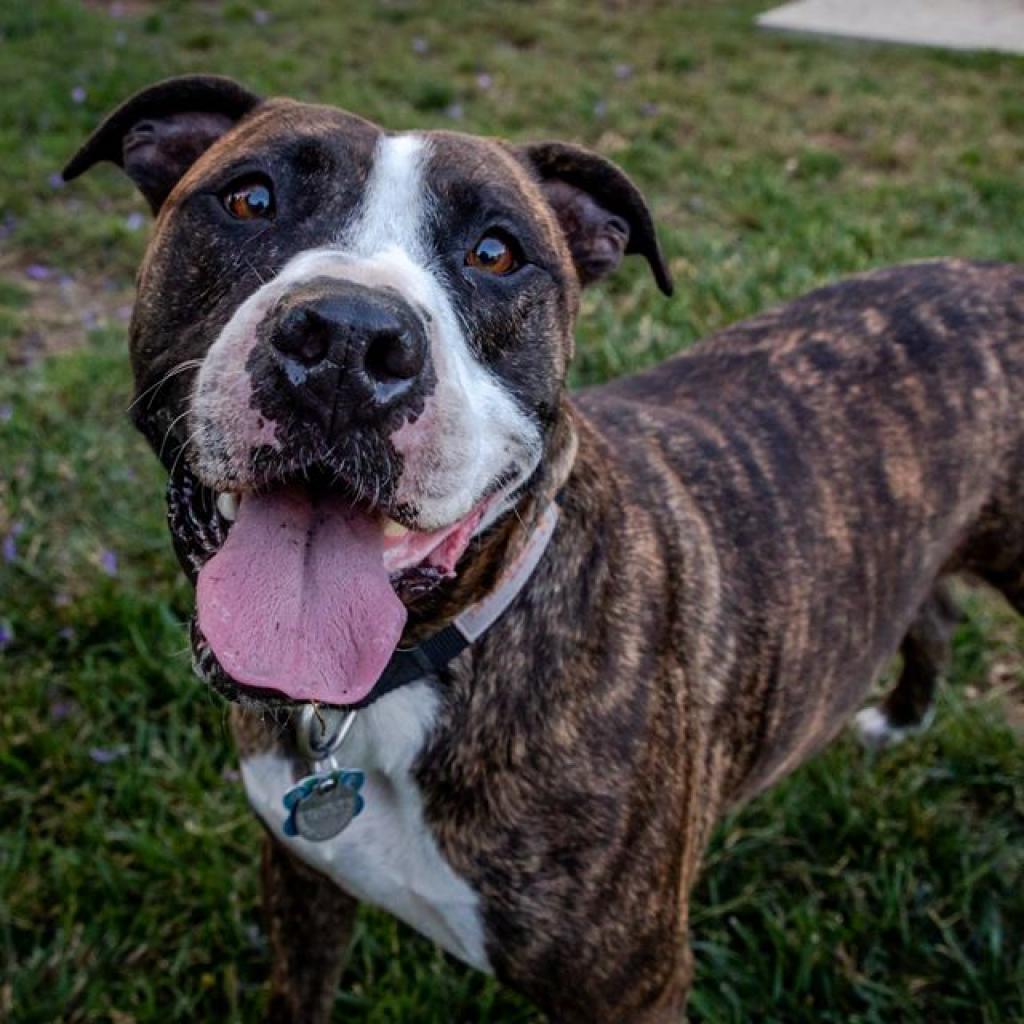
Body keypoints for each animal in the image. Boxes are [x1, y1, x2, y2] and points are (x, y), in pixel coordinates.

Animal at [66, 75, 1024, 1019]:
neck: (408, 678)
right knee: (934, 610)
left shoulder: (631, 987)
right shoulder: (303, 885)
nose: (347, 338)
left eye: (496, 253)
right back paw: (900, 719)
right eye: (250, 198)